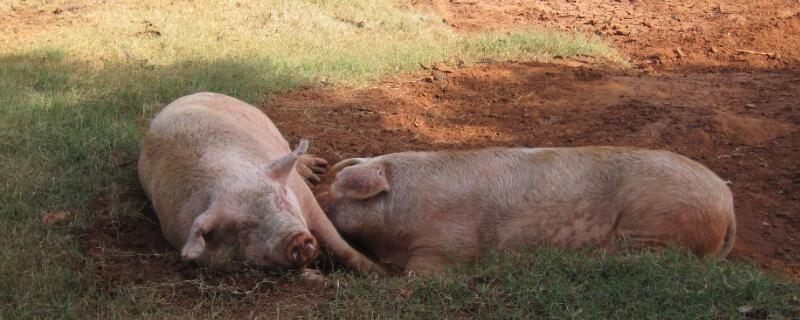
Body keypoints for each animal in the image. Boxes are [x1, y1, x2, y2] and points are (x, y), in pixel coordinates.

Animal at [138, 92, 382, 276]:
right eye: (242, 227)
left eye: (280, 199)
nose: (296, 239)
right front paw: (316, 277)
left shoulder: (304, 196)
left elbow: (335, 238)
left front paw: (376, 271)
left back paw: (316, 169)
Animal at [324, 147, 736, 272]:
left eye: (338, 193)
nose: (321, 201)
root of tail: (728, 204)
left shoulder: (443, 246)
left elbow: (422, 275)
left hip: (659, 220)